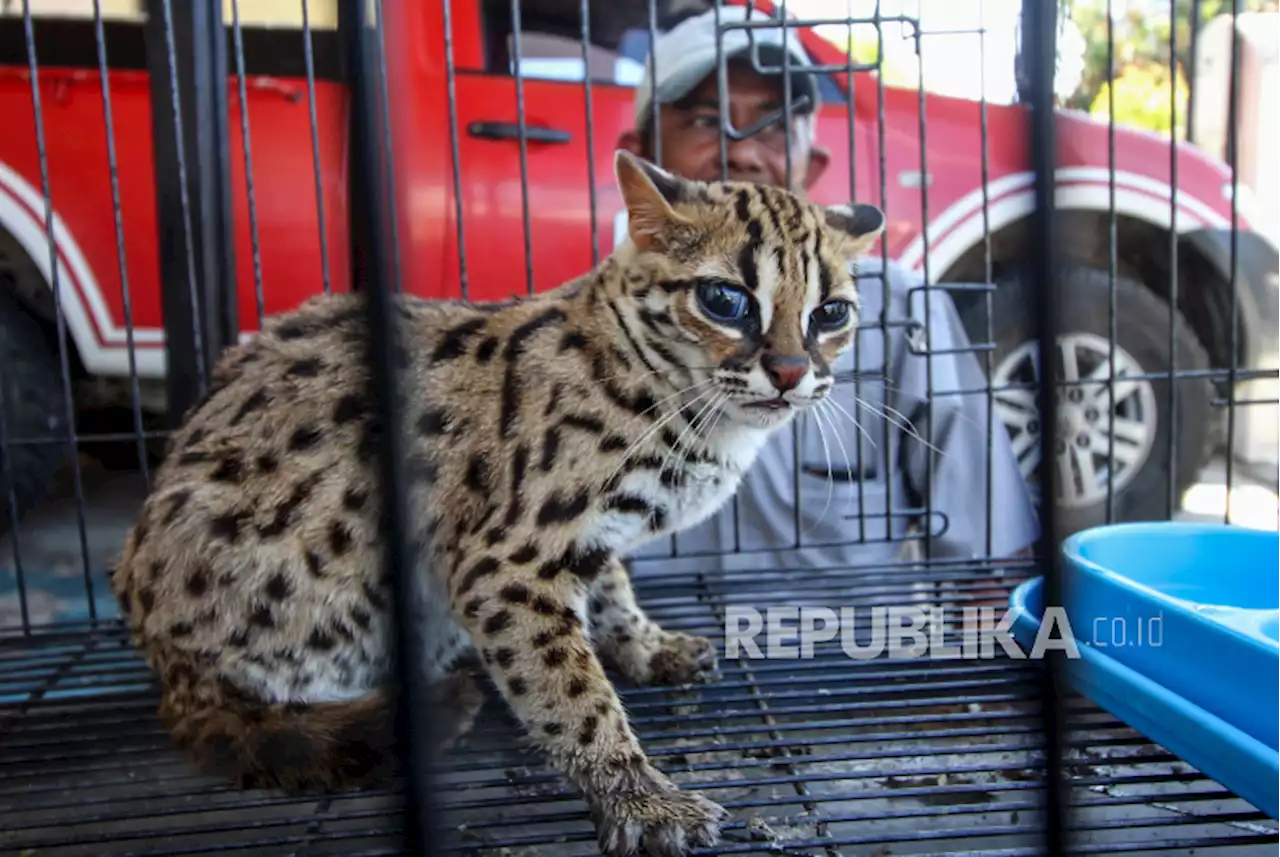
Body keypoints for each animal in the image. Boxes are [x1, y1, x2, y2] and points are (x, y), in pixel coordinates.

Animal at [110, 150, 885, 857]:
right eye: (725, 299)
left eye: (832, 313)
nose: (791, 372)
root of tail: (168, 668)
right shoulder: (504, 564)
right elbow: (571, 692)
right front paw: (637, 797)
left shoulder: (587, 541)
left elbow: (612, 587)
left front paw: (643, 644)